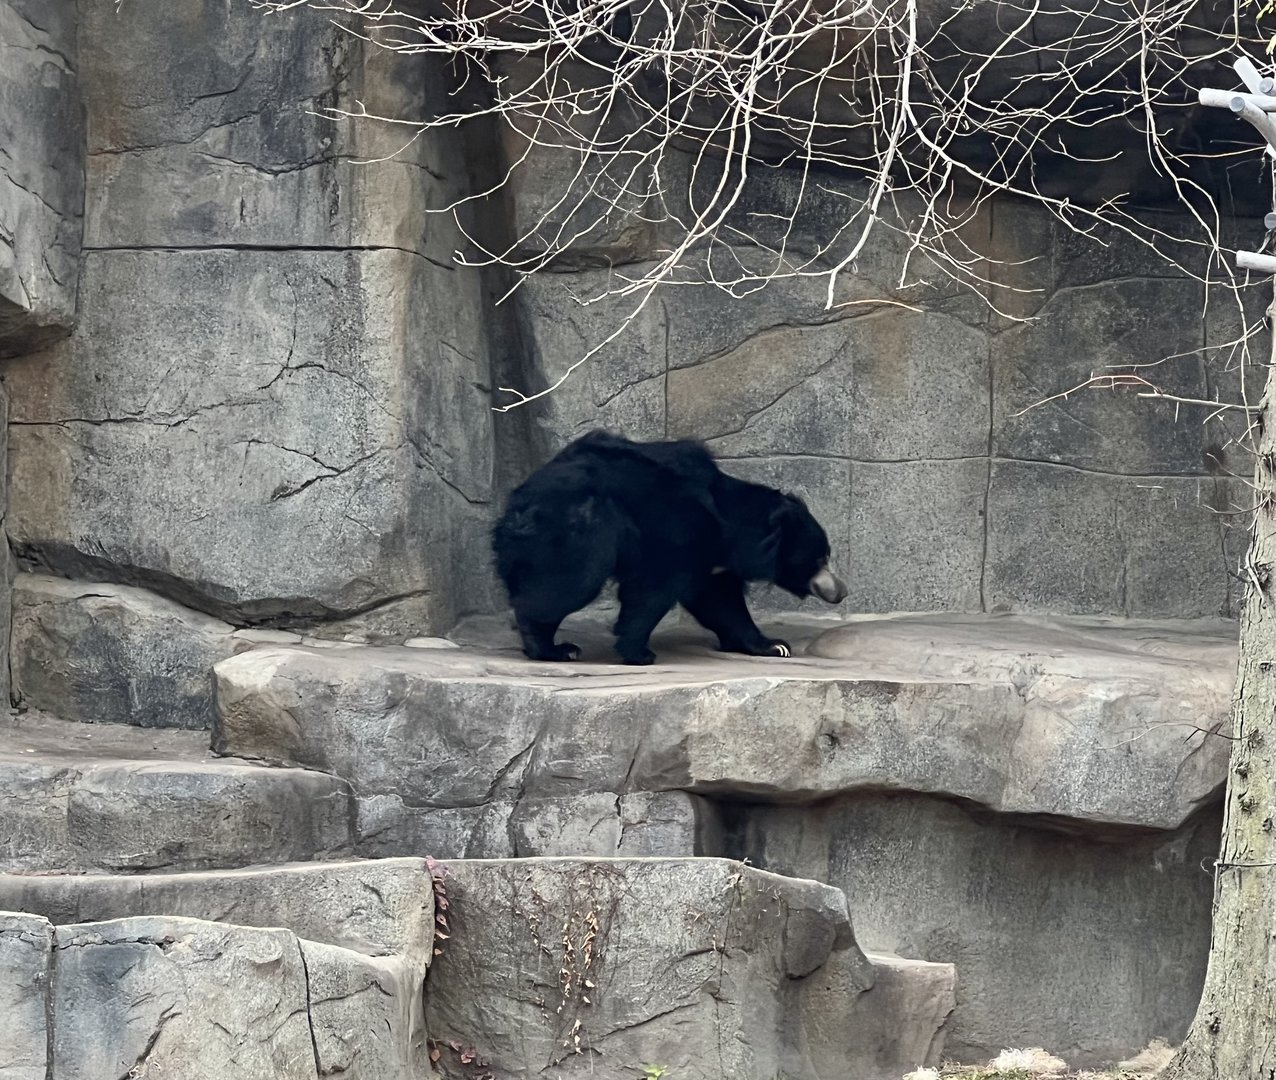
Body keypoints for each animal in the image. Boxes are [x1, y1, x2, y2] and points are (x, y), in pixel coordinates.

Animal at [491, 429, 848, 665]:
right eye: (820, 558)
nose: (841, 591)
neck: (728, 528)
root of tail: (519, 499)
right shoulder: (676, 533)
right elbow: (651, 591)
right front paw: (639, 652)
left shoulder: (710, 561)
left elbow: (722, 602)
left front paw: (774, 645)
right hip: (577, 528)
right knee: (569, 583)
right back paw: (554, 648)